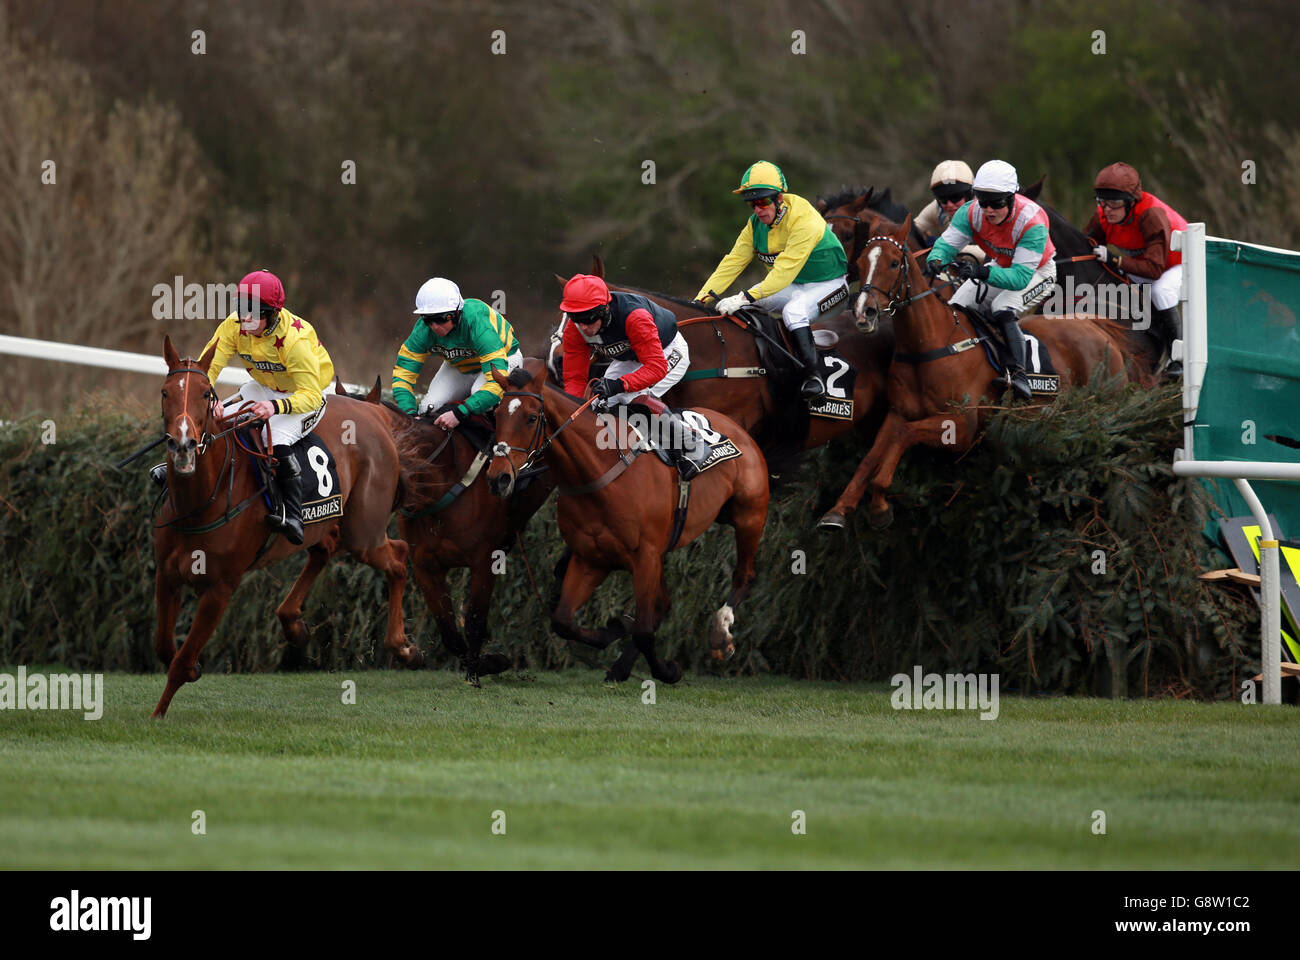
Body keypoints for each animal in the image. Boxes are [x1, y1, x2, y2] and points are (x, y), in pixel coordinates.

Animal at [151, 333, 416, 712]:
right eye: (165, 392)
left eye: (205, 393)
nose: (184, 445)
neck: (199, 502)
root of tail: (373, 412)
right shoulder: (167, 575)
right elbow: (164, 648)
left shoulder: (220, 589)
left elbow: (179, 662)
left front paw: (159, 713)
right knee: (325, 549)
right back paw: (294, 623)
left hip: (363, 531)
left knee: (399, 556)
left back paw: (402, 645)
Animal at [488, 356, 769, 681]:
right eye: (496, 415)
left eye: (532, 418)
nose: (498, 478)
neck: (598, 470)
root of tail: (739, 427)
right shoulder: (591, 559)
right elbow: (563, 622)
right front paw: (613, 629)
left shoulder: (645, 556)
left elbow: (644, 631)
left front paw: (667, 670)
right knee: (663, 603)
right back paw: (622, 664)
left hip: (750, 515)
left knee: (744, 576)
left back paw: (720, 634)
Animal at [816, 214, 1133, 530]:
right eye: (861, 263)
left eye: (894, 263)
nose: (863, 313)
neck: (930, 344)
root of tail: (1093, 324)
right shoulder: (898, 412)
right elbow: (872, 455)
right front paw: (838, 510)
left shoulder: (961, 428)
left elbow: (904, 435)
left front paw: (880, 503)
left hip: (1108, 404)